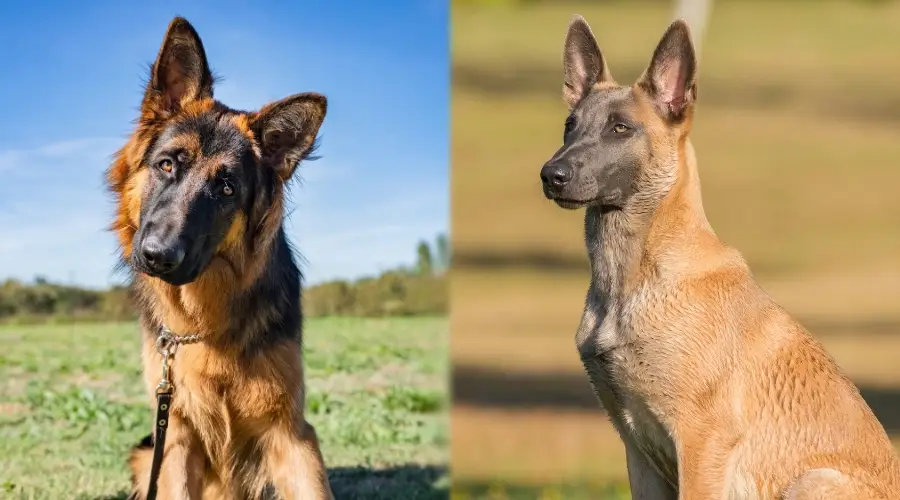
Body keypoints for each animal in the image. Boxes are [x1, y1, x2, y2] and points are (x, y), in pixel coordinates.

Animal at [108, 15, 334, 500]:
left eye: (226, 188)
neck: (205, 325)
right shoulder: (176, 438)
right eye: (167, 165)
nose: (157, 257)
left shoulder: (292, 435)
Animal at [536, 14, 900, 496]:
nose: (550, 175)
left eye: (620, 128)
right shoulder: (639, 453)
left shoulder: (700, 441)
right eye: (569, 125)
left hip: (814, 479)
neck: (636, 280)